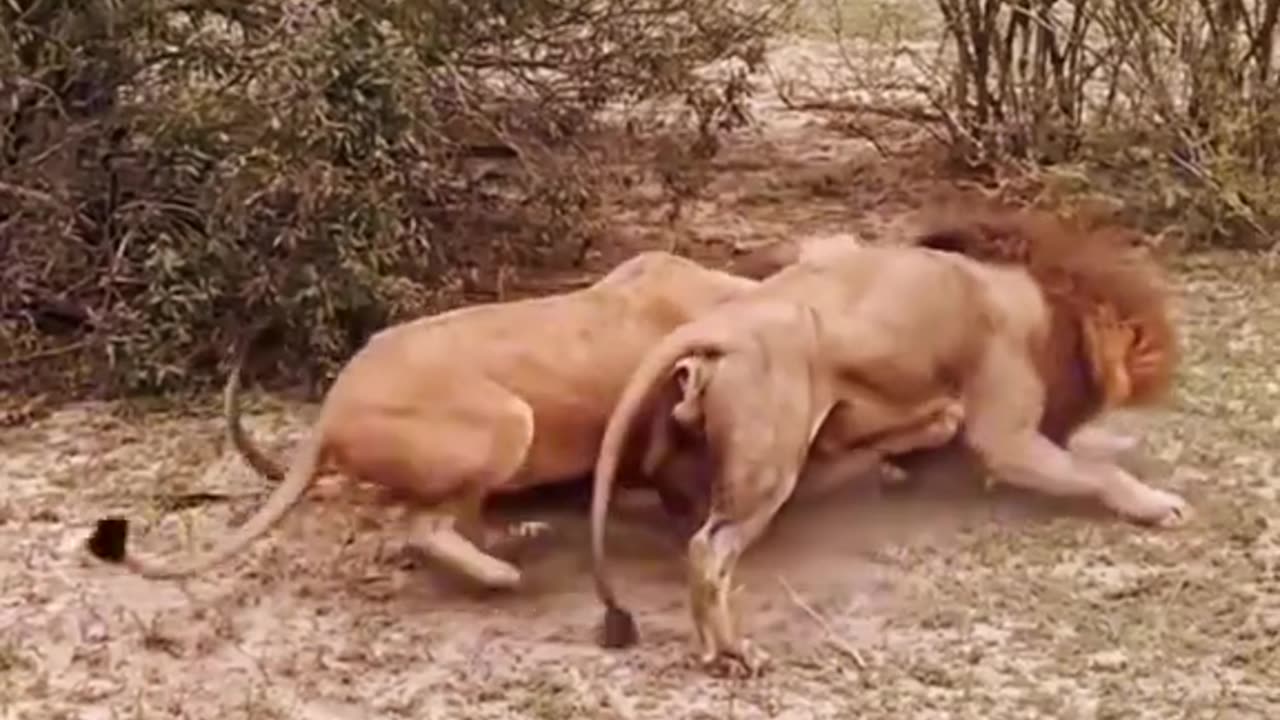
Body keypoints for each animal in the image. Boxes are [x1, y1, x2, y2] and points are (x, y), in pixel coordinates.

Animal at [83, 250, 762, 590]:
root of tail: (331, 411)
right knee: (422, 528)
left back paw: (518, 538)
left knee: (461, 519)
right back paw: (502, 573)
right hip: (508, 422)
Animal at [589, 207, 1186, 675]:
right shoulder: (1005, 434)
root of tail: (725, 325)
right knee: (708, 551)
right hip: (773, 463)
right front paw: (1158, 505)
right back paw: (731, 654)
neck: (1041, 300)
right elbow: (1098, 471)